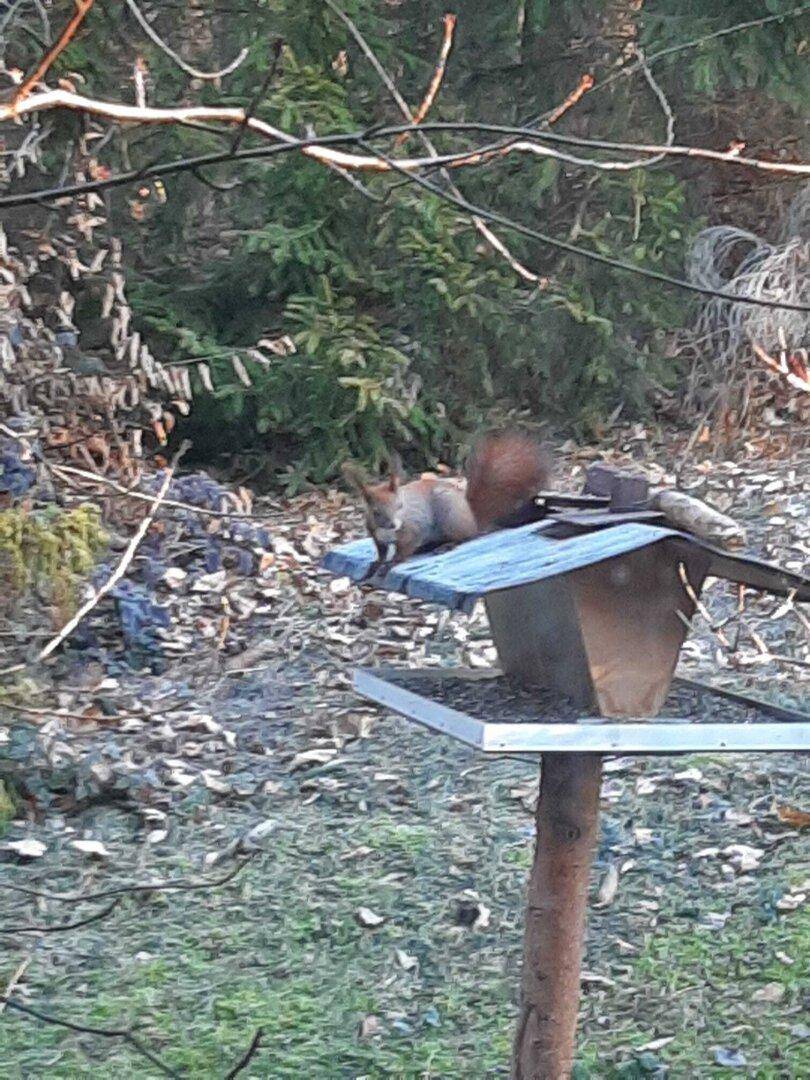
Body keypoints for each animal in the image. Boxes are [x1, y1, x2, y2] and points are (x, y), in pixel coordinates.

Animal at [342, 430, 551, 570]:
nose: (394, 524)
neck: (388, 531)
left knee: (466, 537)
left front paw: (393, 562)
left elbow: (404, 549)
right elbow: (381, 550)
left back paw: (447, 545)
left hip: (451, 518)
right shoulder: (376, 534)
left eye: (400, 506)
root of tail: (473, 519)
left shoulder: (413, 529)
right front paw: (377, 562)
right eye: (376, 511)